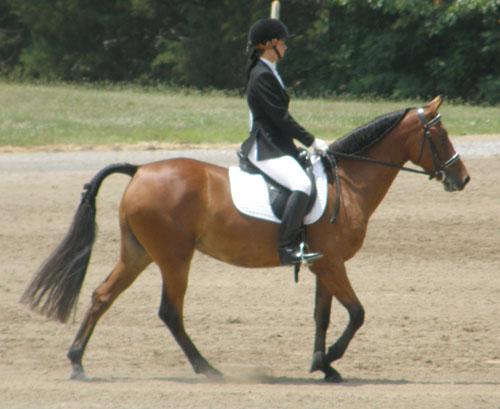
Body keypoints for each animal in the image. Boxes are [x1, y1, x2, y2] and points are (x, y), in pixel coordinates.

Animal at [22, 95, 468, 380]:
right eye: (440, 134)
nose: (462, 178)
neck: (349, 181)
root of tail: (140, 170)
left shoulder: (324, 263)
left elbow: (323, 315)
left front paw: (323, 365)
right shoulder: (332, 263)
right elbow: (357, 313)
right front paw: (328, 360)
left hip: (138, 254)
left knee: (102, 296)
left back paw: (77, 363)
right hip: (174, 258)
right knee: (170, 312)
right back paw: (207, 368)